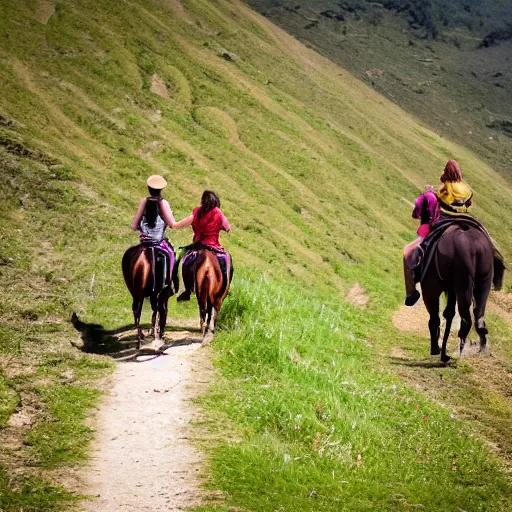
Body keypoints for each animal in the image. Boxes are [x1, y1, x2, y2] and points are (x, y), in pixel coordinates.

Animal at [420, 221, 504, 364]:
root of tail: (475, 244)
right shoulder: (452, 290)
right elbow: (448, 314)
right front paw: (443, 353)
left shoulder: (432, 287)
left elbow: (437, 317)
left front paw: (437, 350)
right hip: (483, 280)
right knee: (478, 315)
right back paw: (480, 347)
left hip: (461, 281)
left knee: (464, 319)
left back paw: (459, 348)